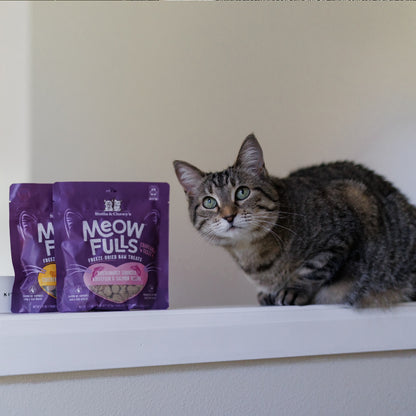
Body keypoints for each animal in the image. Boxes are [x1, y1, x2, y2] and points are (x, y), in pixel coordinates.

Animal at [172, 135, 416, 308]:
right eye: (209, 202)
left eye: (242, 192)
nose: (229, 215)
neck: (254, 257)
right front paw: (268, 294)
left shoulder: (350, 206)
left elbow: (314, 267)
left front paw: (293, 290)